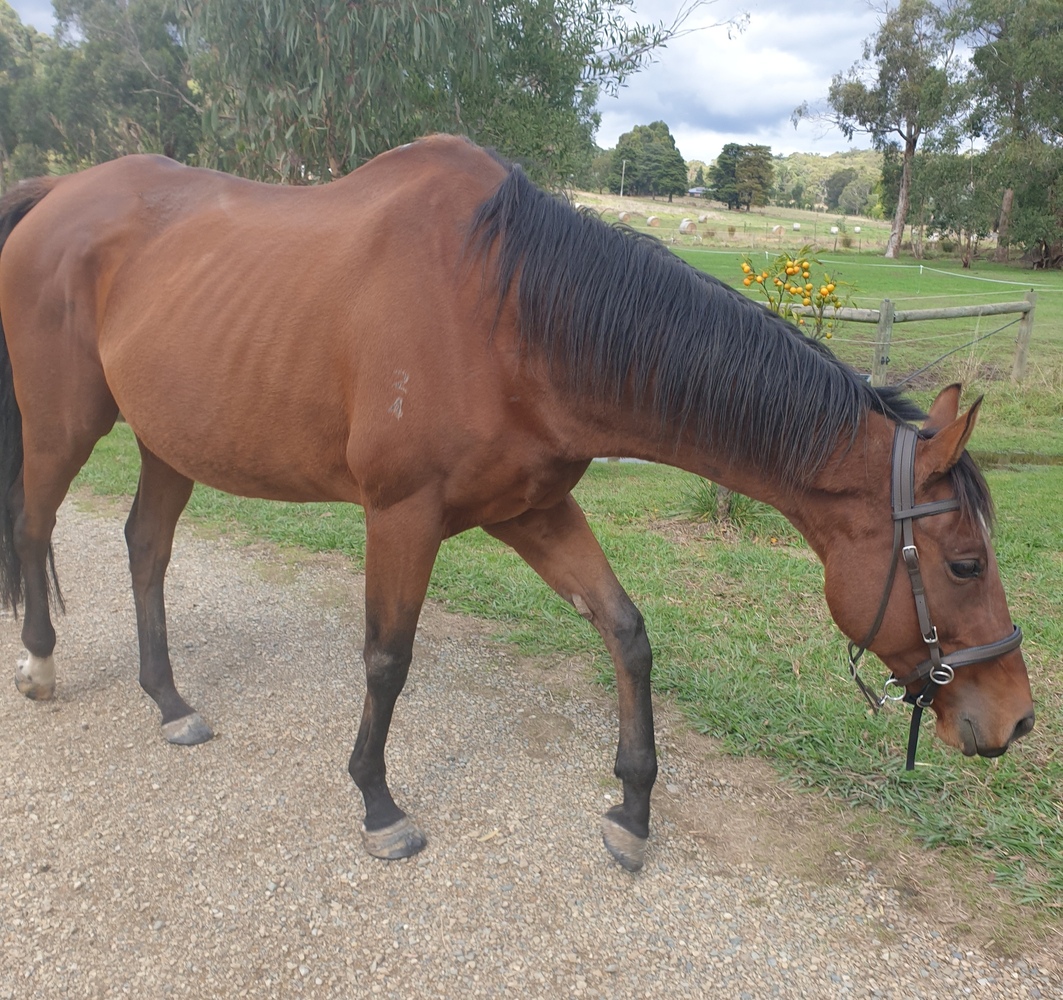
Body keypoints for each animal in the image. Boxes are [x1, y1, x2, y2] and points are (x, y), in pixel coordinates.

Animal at [0, 134, 1034, 872]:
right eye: (964, 562)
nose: (1016, 720)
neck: (508, 317)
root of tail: (57, 195)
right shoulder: (401, 517)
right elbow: (387, 659)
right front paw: (378, 805)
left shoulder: (531, 512)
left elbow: (625, 632)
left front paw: (632, 808)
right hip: (62, 425)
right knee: (35, 525)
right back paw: (42, 665)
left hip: (169, 441)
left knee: (144, 547)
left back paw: (169, 701)